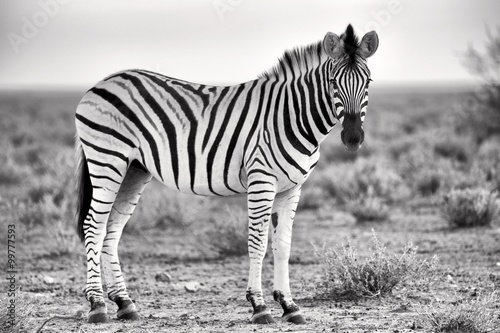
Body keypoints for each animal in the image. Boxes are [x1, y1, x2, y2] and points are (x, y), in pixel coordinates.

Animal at [75, 24, 378, 324]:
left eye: (368, 82)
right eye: (333, 83)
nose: (353, 139)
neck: (291, 117)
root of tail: (103, 82)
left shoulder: (292, 187)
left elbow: (283, 245)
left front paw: (290, 305)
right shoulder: (261, 180)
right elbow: (257, 243)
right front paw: (259, 306)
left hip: (134, 169)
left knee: (111, 229)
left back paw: (124, 303)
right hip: (107, 161)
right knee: (93, 226)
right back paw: (97, 305)